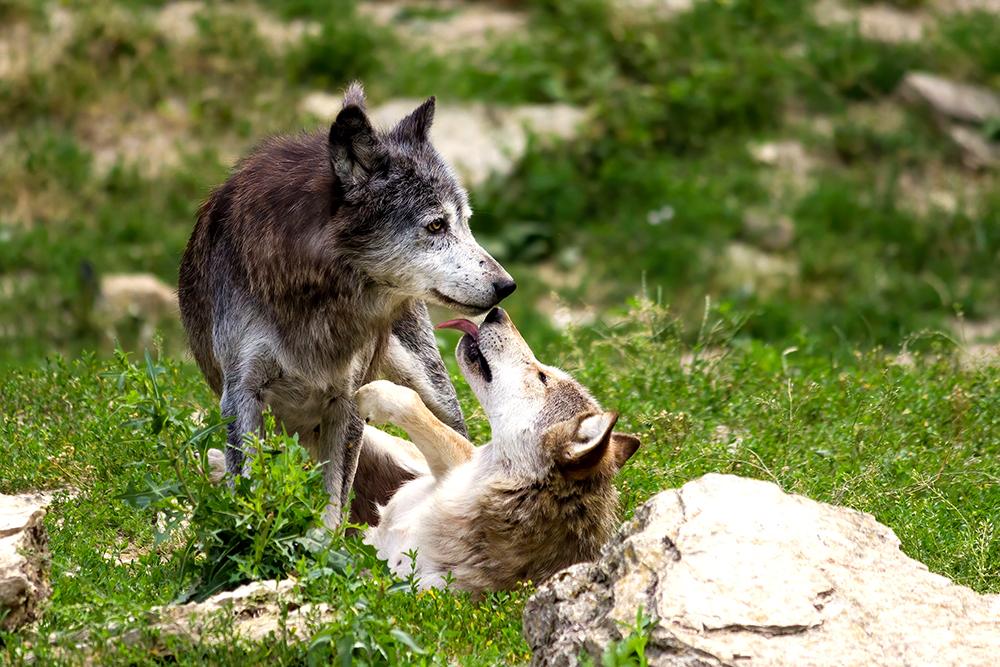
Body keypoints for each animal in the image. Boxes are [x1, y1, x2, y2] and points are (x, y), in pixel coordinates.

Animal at [178, 82, 515, 526]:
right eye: (436, 225)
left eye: (466, 222)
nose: (507, 285)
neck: (314, 295)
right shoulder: (242, 394)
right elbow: (251, 489)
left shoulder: (347, 398)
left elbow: (332, 507)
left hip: (434, 391)